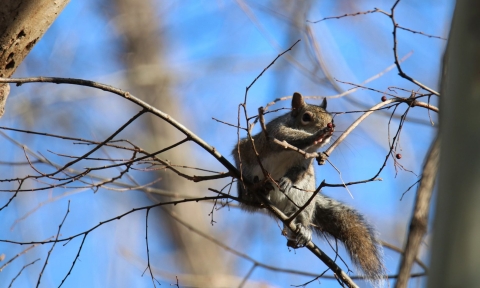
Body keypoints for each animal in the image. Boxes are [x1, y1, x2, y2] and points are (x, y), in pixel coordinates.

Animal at [231, 93, 384, 284]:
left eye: (331, 118)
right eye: (306, 117)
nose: (329, 128)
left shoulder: (305, 162)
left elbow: (297, 172)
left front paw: (287, 181)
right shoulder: (274, 133)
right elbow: (287, 136)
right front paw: (315, 135)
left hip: (303, 198)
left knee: (300, 214)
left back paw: (302, 229)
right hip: (244, 156)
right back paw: (251, 193)